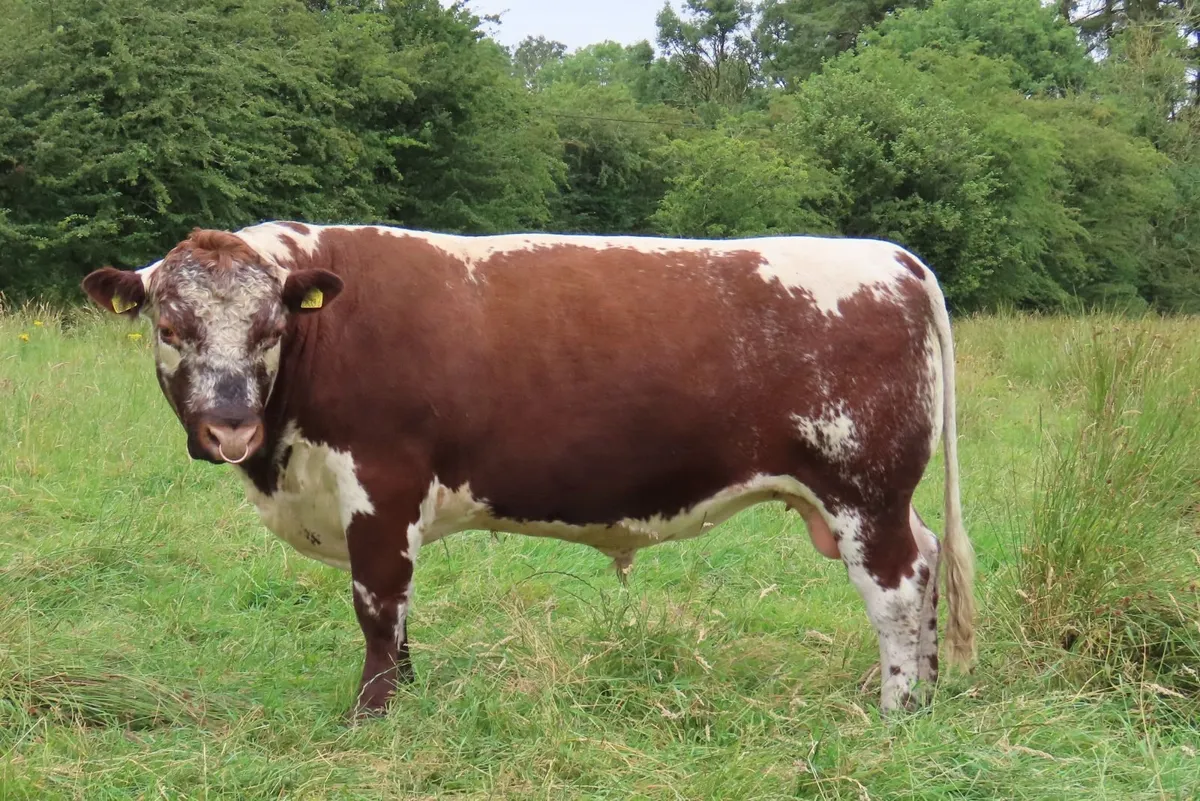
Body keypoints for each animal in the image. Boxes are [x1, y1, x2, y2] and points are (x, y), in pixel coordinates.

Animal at [82, 222, 976, 718]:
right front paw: (408, 695)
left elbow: (377, 603)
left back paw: (897, 707)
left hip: (864, 487)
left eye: (270, 327)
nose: (229, 424)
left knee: (896, 585)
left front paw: (372, 712)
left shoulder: (380, 483)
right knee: (928, 559)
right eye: (170, 325)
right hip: (879, 494)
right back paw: (924, 690)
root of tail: (893, 258)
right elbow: (399, 614)